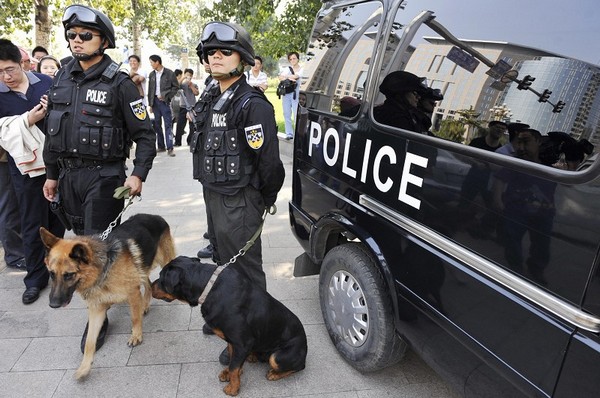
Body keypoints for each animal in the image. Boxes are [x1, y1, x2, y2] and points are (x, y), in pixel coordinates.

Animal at [39, 215, 176, 380]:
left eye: (68, 275)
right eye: (51, 274)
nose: (53, 305)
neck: (102, 270)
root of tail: (156, 216)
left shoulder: (133, 293)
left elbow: (134, 318)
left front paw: (136, 335)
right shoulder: (97, 310)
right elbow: (89, 341)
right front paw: (85, 366)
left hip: (163, 262)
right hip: (141, 270)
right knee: (148, 283)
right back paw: (145, 305)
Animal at [152, 256, 308, 396]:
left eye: (161, 278)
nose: (150, 284)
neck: (208, 288)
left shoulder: (242, 343)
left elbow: (234, 367)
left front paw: (233, 389)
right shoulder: (233, 341)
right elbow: (232, 359)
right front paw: (229, 374)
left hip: (278, 356)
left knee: (297, 366)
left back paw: (274, 374)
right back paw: (253, 356)